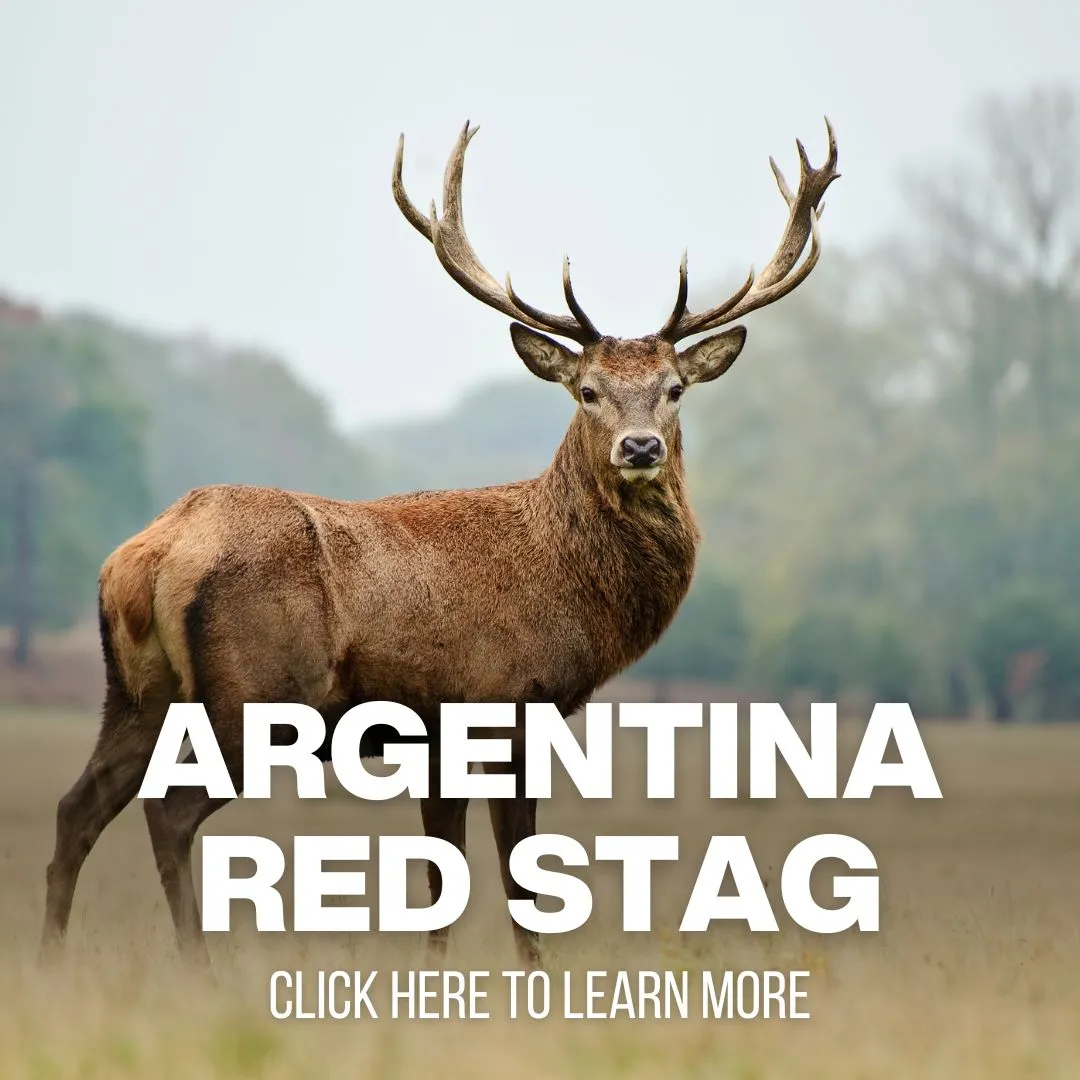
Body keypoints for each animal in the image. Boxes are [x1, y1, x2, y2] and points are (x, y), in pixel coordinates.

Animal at [40, 118, 839, 970]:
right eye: (587, 390)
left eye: (675, 389)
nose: (641, 447)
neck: (570, 585)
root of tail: (149, 555)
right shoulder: (507, 700)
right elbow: (517, 867)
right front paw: (530, 974)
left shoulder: (434, 728)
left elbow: (441, 867)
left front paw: (437, 971)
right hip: (253, 693)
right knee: (168, 813)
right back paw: (199, 967)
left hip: (135, 694)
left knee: (77, 806)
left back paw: (50, 958)